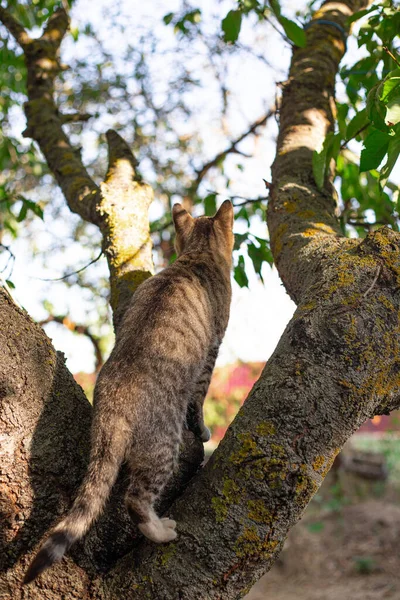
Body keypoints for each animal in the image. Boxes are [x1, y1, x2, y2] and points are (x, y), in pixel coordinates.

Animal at [24, 199, 234, 584]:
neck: (195, 256)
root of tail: (114, 402)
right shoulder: (212, 351)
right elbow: (198, 400)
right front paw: (203, 429)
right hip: (163, 445)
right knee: (136, 500)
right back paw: (162, 530)